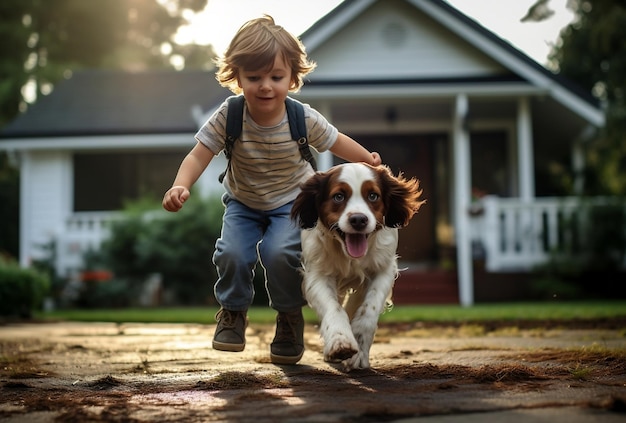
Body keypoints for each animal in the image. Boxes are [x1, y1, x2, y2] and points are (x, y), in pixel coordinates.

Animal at [292, 162, 420, 372]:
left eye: (373, 196)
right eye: (339, 196)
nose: (359, 219)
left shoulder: (383, 269)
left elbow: (368, 309)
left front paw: (359, 350)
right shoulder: (318, 274)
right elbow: (333, 308)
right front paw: (340, 341)